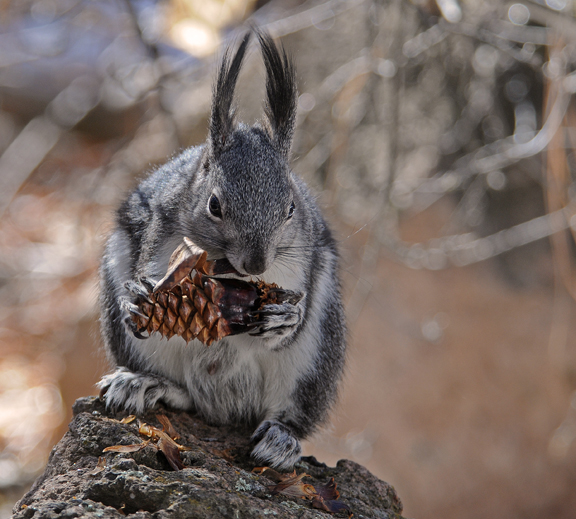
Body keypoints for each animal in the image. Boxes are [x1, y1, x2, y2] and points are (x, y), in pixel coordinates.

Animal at [98, 31, 346, 472]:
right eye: (214, 205)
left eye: (291, 208)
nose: (256, 263)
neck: (228, 275)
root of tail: (224, 410)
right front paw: (138, 299)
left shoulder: (301, 270)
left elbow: (289, 322)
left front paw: (284, 318)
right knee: (186, 397)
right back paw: (145, 383)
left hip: (315, 358)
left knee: (291, 414)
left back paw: (281, 439)